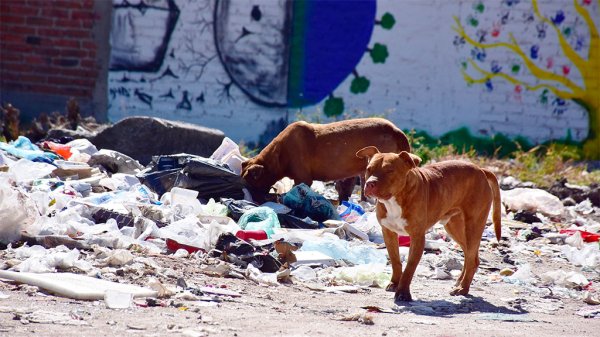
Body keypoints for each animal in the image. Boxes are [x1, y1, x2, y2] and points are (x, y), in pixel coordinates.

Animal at [356, 146, 502, 300]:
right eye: (369, 169)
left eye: (389, 170)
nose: (370, 183)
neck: (395, 199)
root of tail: (481, 170)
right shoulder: (388, 233)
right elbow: (395, 261)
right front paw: (395, 283)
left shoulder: (417, 237)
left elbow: (410, 266)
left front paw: (403, 293)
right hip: (456, 228)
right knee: (470, 257)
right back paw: (459, 282)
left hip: (473, 227)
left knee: (471, 258)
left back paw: (462, 288)